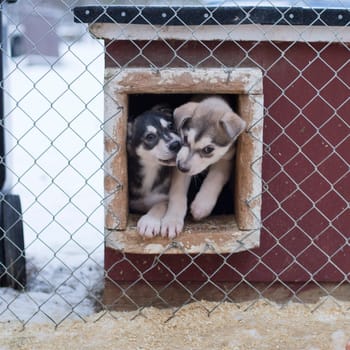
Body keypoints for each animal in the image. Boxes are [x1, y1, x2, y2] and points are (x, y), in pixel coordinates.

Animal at [127, 105, 180, 238]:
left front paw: (149, 221)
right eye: (150, 137)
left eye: (171, 126)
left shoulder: (164, 197)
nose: (177, 144)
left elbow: (160, 204)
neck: (151, 169)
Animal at [159, 95, 245, 238]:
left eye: (208, 149)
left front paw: (202, 205)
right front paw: (172, 219)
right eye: (185, 138)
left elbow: (215, 178)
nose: (182, 167)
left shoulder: (226, 159)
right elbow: (177, 191)